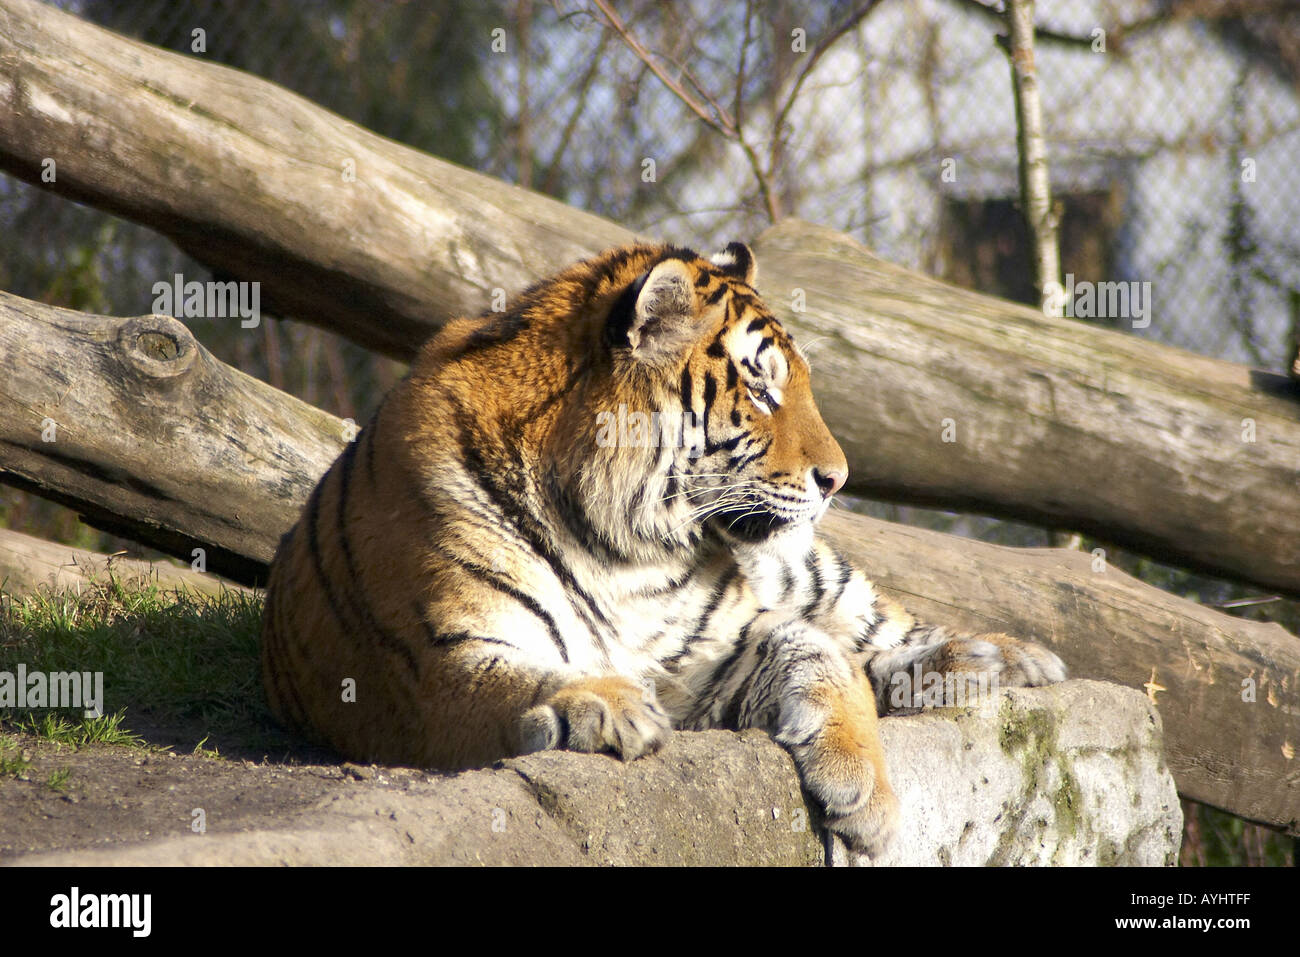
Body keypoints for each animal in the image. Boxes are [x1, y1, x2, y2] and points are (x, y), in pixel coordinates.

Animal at [260, 239, 1067, 857]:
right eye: (761, 390)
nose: (839, 480)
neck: (616, 548)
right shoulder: (432, 660)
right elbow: (514, 678)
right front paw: (607, 703)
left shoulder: (708, 650)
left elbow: (819, 648)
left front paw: (862, 790)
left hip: (808, 566)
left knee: (877, 626)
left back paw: (1000, 656)